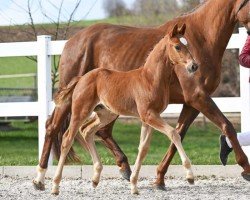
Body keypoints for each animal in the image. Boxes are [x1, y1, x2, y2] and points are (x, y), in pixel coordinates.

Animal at [52, 23, 197, 195]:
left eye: (188, 44)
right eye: (177, 46)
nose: (194, 66)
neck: (150, 79)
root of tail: (82, 78)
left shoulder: (148, 119)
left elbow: (143, 148)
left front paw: (134, 185)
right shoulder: (149, 115)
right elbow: (174, 133)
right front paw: (190, 176)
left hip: (105, 114)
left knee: (87, 131)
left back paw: (95, 178)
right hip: (80, 111)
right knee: (67, 138)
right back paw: (54, 186)